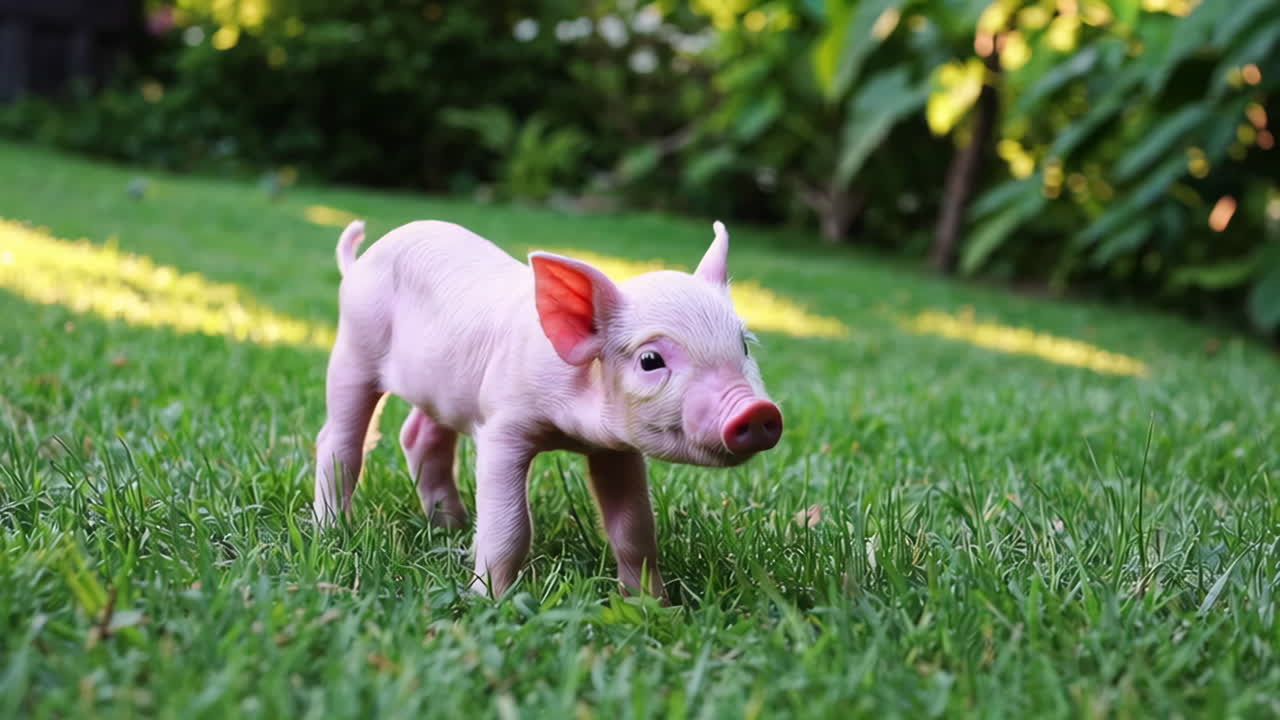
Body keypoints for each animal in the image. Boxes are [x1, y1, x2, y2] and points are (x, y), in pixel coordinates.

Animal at [313, 218, 782, 599]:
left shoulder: (617, 449)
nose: (758, 411)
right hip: (354, 346)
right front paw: (491, 600)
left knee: (420, 437)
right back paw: (332, 531)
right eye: (651, 360)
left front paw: (653, 606)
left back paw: (453, 526)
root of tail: (358, 263)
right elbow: (509, 527)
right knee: (338, 442)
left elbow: (634, 530)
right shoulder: (502, 425)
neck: (570, 431)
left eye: (743, 346)